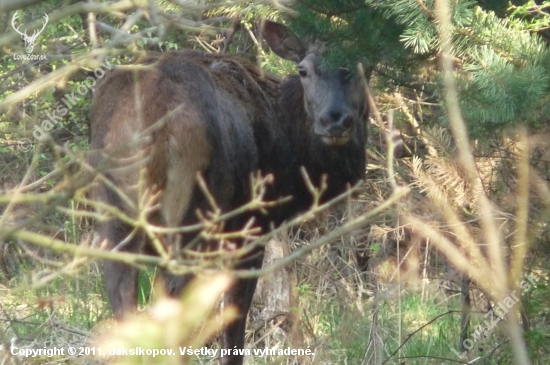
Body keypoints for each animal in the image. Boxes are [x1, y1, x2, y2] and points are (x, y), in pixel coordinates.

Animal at [89, 20, 366, 364]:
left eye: (360, 67)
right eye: (303, 70)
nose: (335, 120)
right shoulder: (251, 228)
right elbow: (233, 321)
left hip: (114, 209)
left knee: (122, 297)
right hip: (192, 207)